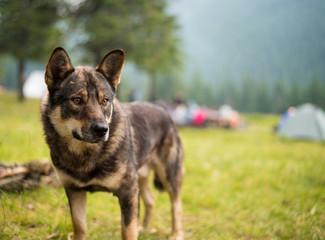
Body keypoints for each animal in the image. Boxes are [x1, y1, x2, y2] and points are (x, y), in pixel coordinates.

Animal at [39, 47, 185, 240]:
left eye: (105, 101)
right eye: (77, 100)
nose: (102, 130)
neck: (85, 153)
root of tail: (162, 108)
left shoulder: (128, 192)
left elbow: (128, 229)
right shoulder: (74, 190)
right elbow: (79, 226)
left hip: (168, 176)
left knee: (176, 204)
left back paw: (176, 233)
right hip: (142, 177)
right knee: (151, 200)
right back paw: (145, 228)